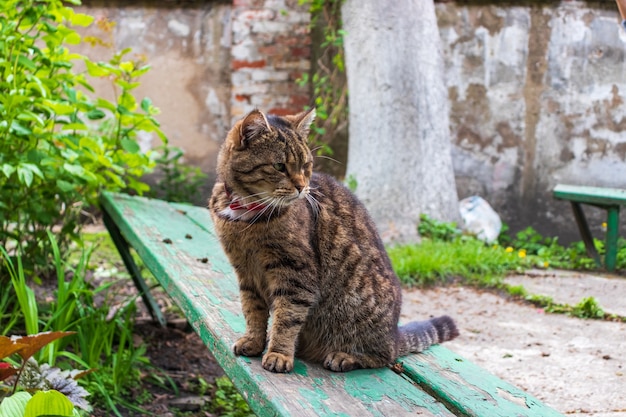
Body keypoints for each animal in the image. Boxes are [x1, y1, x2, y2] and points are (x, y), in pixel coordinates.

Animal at [207, 109, 456, 372]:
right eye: (279, 166)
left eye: (306, 166)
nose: (301, 187)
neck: (245, 214)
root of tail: (394, 334)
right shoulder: (246, 272)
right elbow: (252, 310)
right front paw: (254, 341)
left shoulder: (296, 274)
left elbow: (286, 318)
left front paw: (278, 353)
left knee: (384, 356)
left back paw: (344, 356)